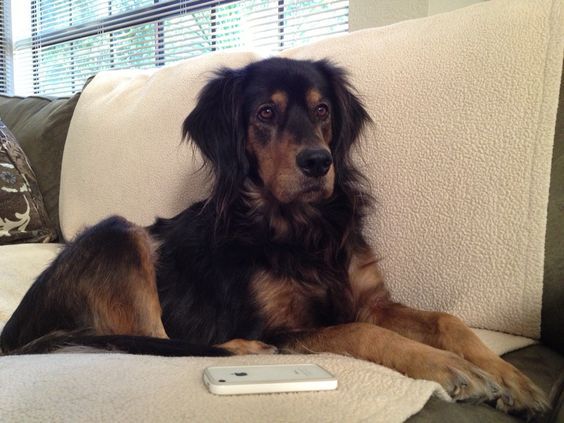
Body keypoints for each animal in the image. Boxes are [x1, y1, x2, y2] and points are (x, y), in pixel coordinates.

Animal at [0, 58, 548, 420]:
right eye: (265, 113)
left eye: (323, 110)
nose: (318, 162)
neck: (300, 227)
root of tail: (13, 331)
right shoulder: (286, 326)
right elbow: (365, 334)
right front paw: (450, 368)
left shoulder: (370, 300)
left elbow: (447, 320)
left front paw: (512, 379)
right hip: (118, 234)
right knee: (152, 341)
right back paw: (241, 351)